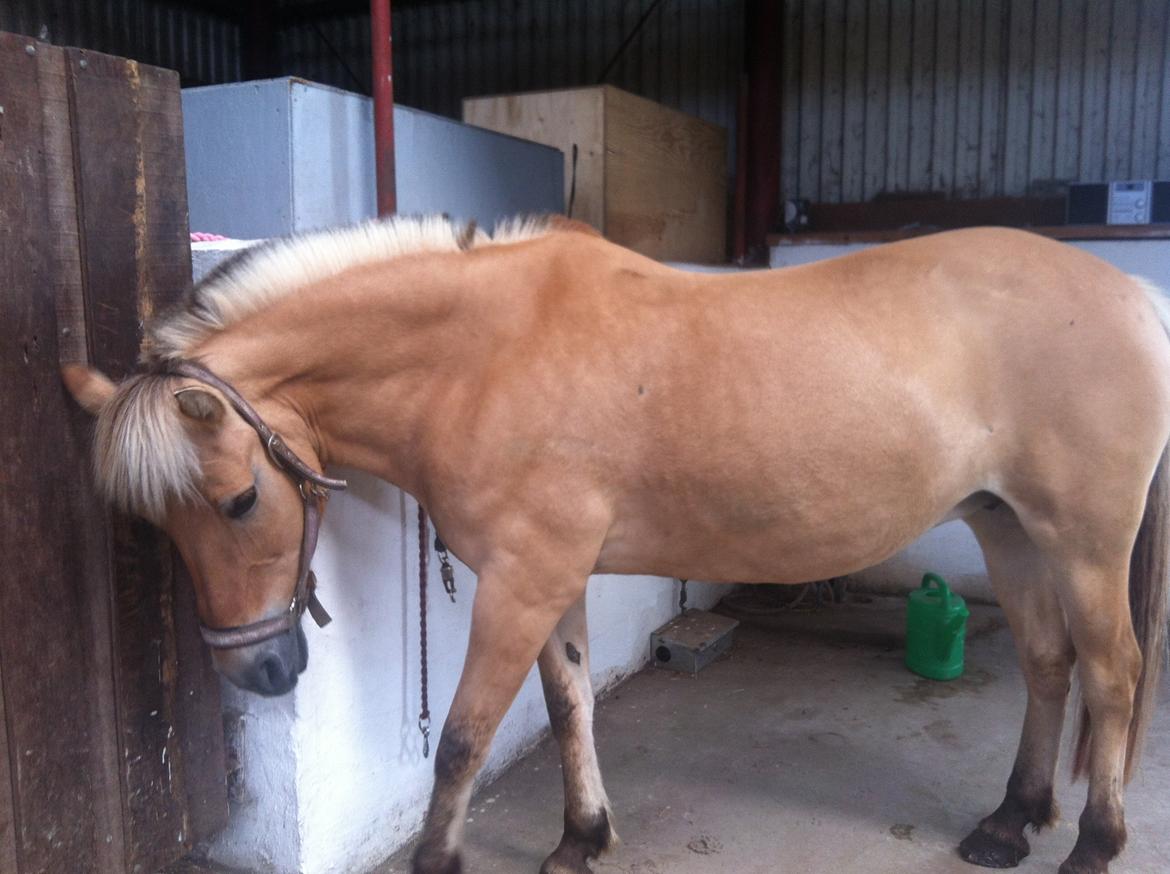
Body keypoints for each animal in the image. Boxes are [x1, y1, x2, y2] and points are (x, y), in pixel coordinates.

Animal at [64, 214, 1170, 874]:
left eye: (241, 499)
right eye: (158, 523)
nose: (257, 672)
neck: (485, 355)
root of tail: (1136, 297)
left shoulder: (519, 581)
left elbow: (464, 737)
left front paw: (444, 857)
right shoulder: (555, 576)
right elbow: (571, 703)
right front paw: (582, 837)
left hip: (1081, 541)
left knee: (1112, 674)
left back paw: (1094, 842)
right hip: (1007, 526)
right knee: (1047, 666)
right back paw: (1011, 820)